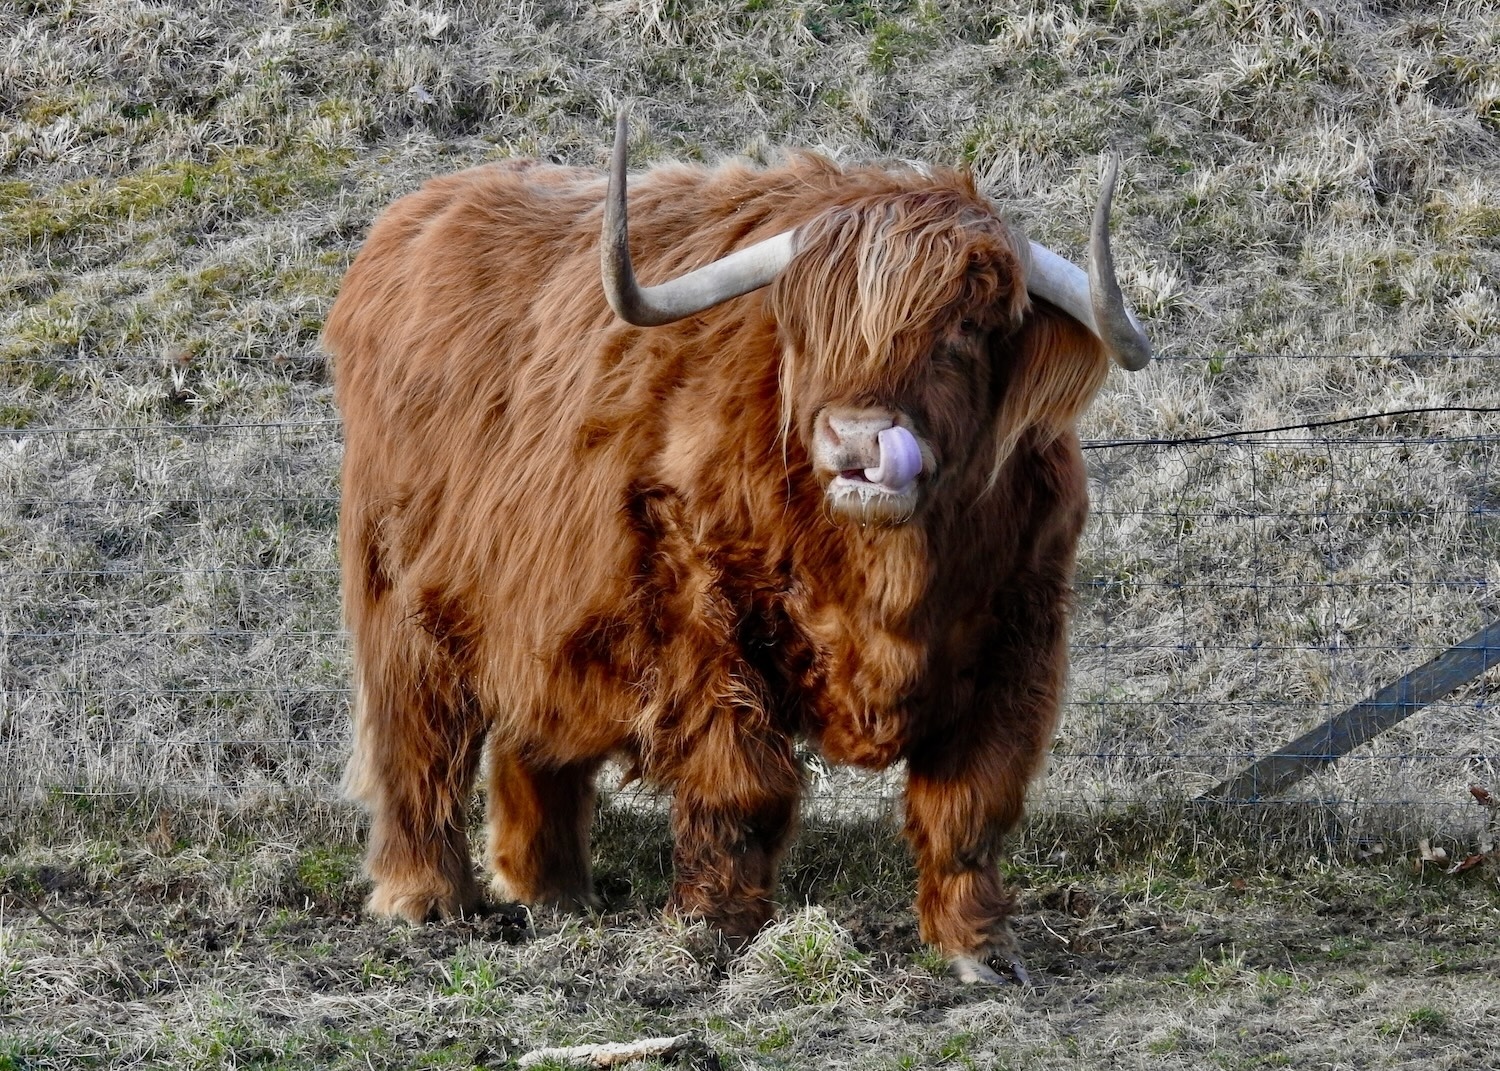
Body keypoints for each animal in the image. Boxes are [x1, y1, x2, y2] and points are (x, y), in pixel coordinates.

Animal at [325, 109, 1152, 984]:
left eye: (963, 329)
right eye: (809, 331)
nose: (857, 441)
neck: (888, 575)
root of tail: (408, 222)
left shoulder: (1022, 639)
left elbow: (970, 803)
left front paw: (979, 947)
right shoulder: (700, 614)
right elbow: (741, 785)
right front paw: (710, 928)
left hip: (535, 608)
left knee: (533, 734)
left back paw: (550, 887)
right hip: (400, 596)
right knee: (418, 739)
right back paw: (425, 895)